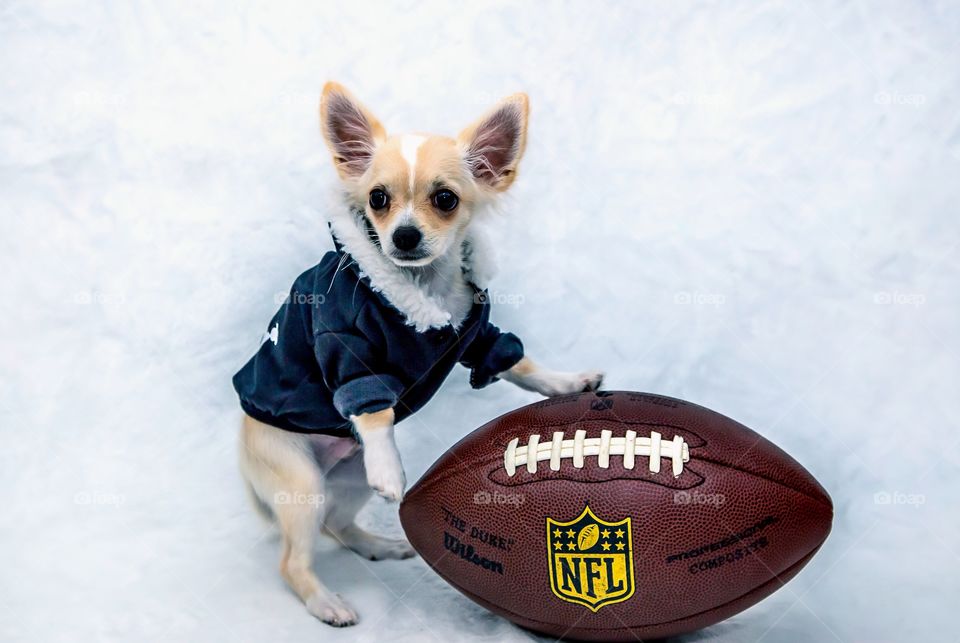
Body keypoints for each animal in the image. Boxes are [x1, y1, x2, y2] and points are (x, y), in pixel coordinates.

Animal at [233, 83, 604, 628]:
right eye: (378, 199)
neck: (422, 290)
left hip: (348, 479)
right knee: (292, 561)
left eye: (445, 199)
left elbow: (519, 364)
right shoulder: (347, 349)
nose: (404, 235)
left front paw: (567, 383)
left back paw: (379, 546)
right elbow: (375, 411)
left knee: (337, 526)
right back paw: (325, 601)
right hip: (300, 481)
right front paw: (390, 467)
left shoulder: (477, 336)